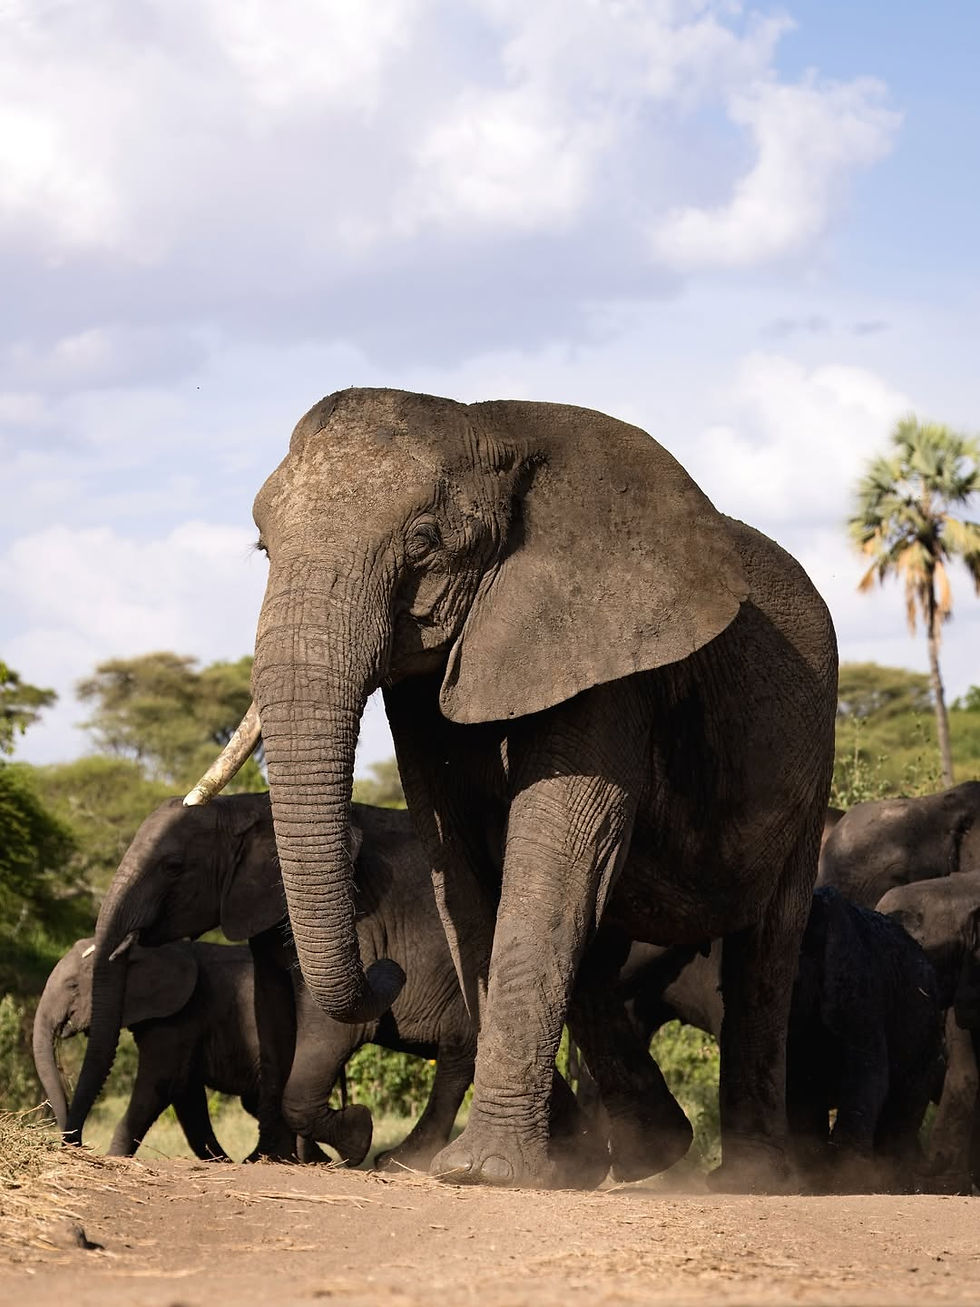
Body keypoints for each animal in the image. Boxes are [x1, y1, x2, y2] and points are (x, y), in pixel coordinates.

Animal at [33, 937, 365, 1162]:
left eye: (73, 986)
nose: (76, 1145)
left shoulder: (181, 1017)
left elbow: (161, 1085)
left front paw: (114, 1157)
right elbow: (187, 1096)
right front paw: (222, 1162)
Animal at [189, 387, 838, 1190]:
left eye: (424, 542)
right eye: (262, 548)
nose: (385, 969)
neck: (489, 428)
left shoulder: (607, 654)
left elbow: (553, 855)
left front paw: (484, 1172)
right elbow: (465, 870)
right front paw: (540, 1163)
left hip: (810, 757)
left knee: (764, 947)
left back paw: (746, 1178)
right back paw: (644, 1154)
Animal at [619, 887, 944, 1190]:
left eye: (793, 987)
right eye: (722, 993)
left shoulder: (857, 991)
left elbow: (866, 1071)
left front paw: (844, 1176)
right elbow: (798, 1087)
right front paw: (814, 1173)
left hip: (928, 1033)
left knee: (905, 1100)